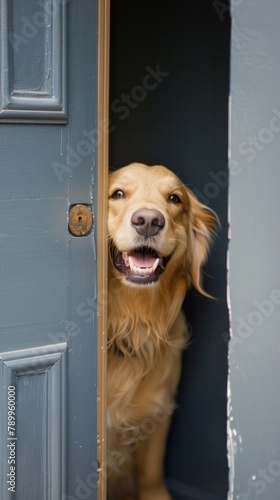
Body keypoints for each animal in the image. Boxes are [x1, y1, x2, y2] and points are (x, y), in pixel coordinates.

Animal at [106, 164, 218, 500]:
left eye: (174, 199)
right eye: (117, 193)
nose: (148, 221)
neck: (133, 321)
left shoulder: (158, 414)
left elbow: (151, 474)